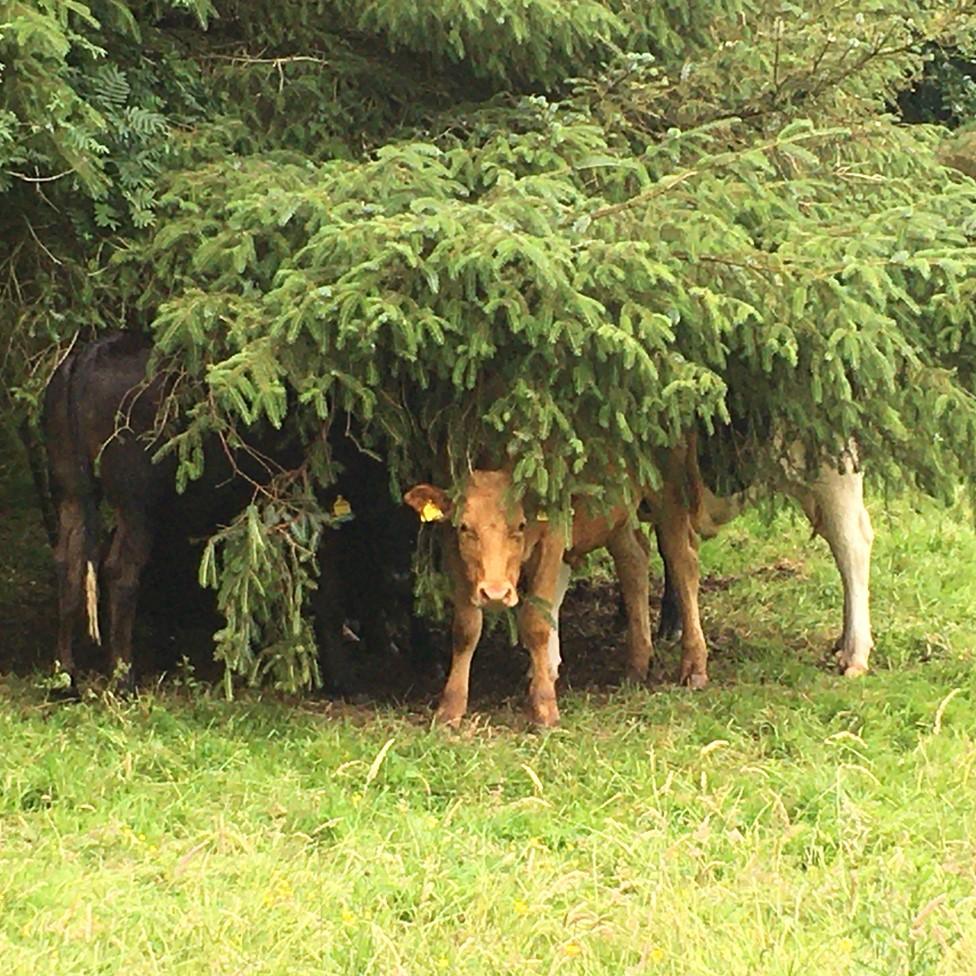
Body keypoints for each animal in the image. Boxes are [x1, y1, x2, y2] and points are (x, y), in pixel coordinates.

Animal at [400, 442, 704, 724]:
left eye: (521, 526)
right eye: (465, 527)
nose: (496, 593)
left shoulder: (554, 537)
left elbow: (536, 623)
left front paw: (544, 708)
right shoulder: (451, 547)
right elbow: (466, 628)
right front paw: (450, 709)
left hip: (669, 488)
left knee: (682, 561)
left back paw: (694, 667)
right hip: (617, 512)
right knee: (634, 561)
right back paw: (637, 666)